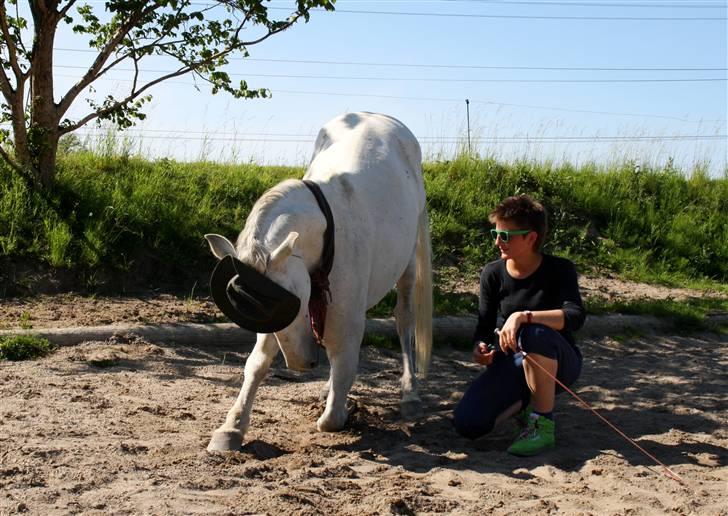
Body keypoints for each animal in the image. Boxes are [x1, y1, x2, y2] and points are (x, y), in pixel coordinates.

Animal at [205, 113, 432, 452]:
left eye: (292, 300)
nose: (304, 363)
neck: (326, 232)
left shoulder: (337, 318)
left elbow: (332, 416)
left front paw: (344, 409)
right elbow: (257, 362)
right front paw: (232, 427)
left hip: (407, 264)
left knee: (404, 317)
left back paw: (409, 393)